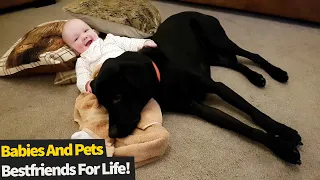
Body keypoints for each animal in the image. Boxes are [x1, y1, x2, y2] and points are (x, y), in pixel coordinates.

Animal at [90, 11, 302, 165]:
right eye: (104, 105)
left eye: (117, 96)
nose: (112, 134)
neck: (162, 76)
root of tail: (198, 12)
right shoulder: (196, 107)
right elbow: (239, 125)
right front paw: (281, 146)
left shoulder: (217, 87)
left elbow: (251, 111)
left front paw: (284, 132)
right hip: (212, 56)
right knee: (233, 63)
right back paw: (256, 77)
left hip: (218, 40)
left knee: (250, 55)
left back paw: (277, 73)